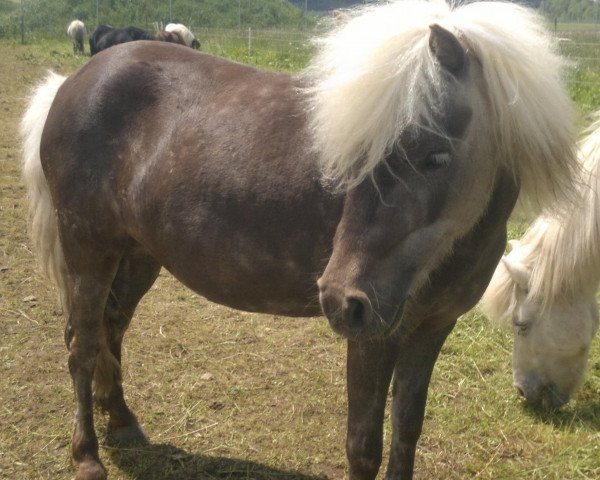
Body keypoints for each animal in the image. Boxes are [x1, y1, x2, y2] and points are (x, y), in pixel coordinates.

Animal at [22, 2, 576, 480]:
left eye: (435, 156)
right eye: (355, 157)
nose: (340, 299)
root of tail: (73, 82)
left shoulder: (431, 329)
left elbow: (406, 431)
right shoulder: (377, 336)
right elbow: (364, 447)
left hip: (137, 254)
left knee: (112, 328)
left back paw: (121, 421)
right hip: (88, 248)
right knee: (82, 345)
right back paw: (87, 457)